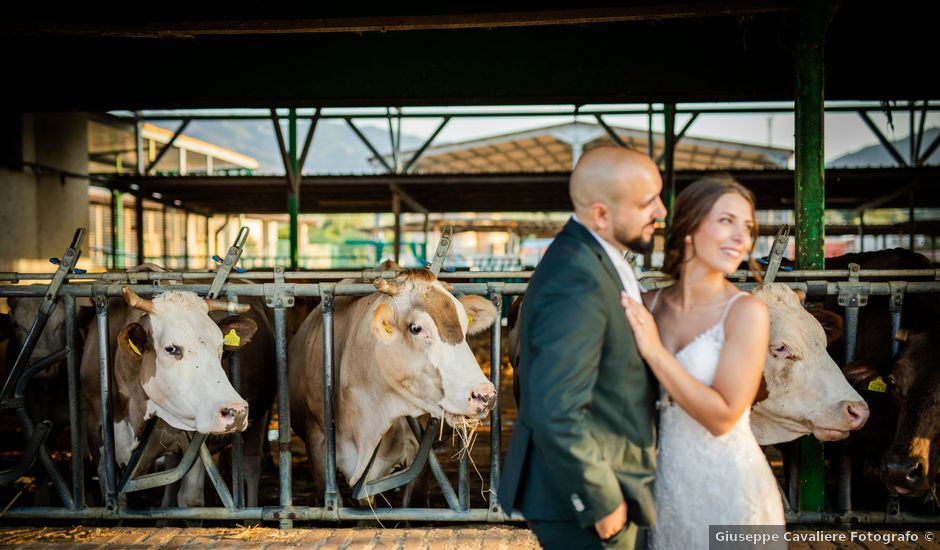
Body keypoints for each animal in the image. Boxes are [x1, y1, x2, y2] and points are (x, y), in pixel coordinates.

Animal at [78, 288, 266, 508]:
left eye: (221, 348)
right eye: (171, 348)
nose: (236, 411)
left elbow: (190, 498)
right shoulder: (96, 432)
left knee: (251, 465)